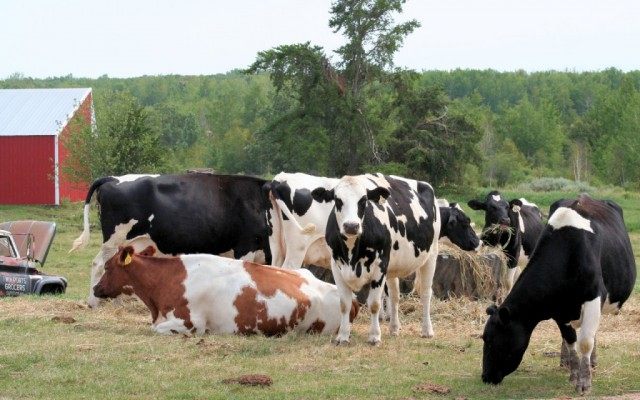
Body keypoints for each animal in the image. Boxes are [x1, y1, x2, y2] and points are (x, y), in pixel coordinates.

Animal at [311, 173, 440, 345]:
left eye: (363, 200)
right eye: (337, 200)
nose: (351, 226)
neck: (352, 253)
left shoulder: (380, 267)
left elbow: (374, 304)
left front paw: (374, 336)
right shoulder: (337, 267)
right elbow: (344, 304)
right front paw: (343, 336)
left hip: (431, 255)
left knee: (425, 293)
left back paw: (427, 330)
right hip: (393, 266)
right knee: (394, 295)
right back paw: (394, 328)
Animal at [481, 194, 636, 394]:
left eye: (492, 340)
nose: (485, 377)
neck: (567, 251)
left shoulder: (594, 297)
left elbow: (585, 342)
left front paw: (584, 383)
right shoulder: (559, 308)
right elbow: (570, 339)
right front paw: (574, 374)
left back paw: (591, 362)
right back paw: (566, 362)